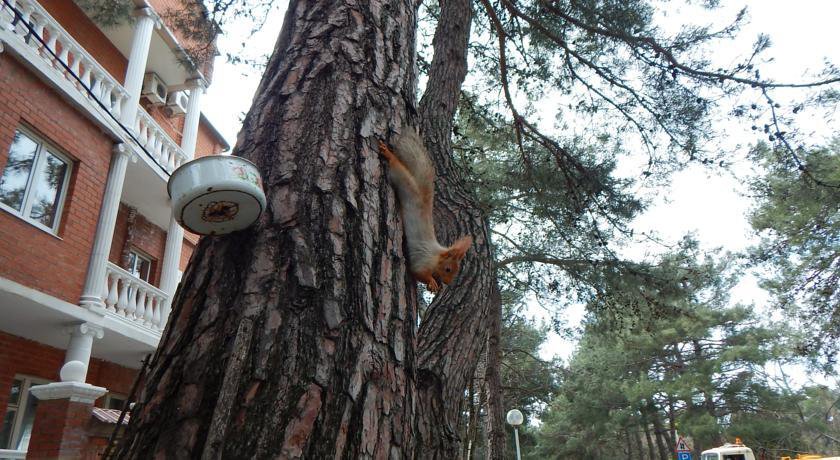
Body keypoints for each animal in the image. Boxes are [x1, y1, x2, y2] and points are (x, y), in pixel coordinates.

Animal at [378, 127, 472, 292]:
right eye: (448, 269)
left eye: (456, 271)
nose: (447, 283)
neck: (436, 256)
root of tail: (421, 195)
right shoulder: (423, 259)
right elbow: (418, 272)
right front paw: (432, 282)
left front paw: (437, 284)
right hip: (403, 181)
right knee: (397, 167)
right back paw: (389, 154)